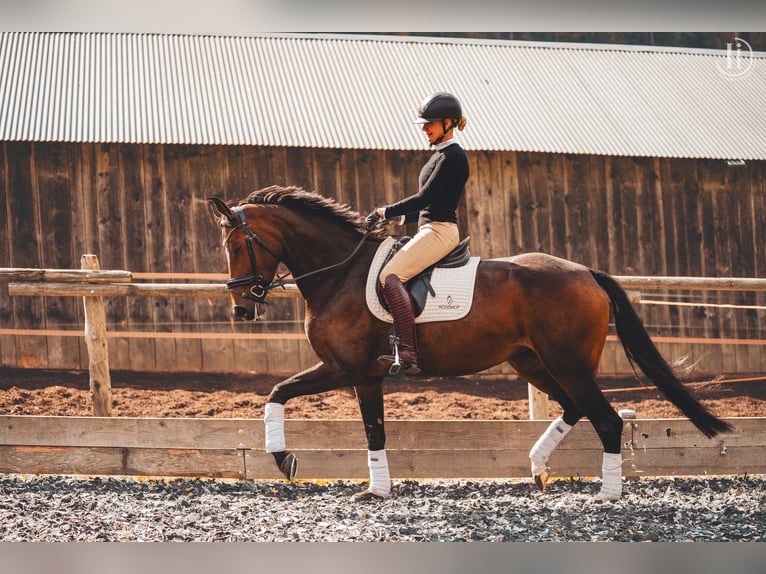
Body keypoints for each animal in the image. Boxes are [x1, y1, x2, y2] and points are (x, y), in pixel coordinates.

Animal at [208, 188, 732, 504]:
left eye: (235, 245)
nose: (241, 308)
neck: (340, 273)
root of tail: (586, 272)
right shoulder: (359, 375)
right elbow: (358, 426)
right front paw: (373, 488)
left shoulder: (347, 369)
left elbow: (283, 394)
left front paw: (289, 461)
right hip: (532, 362)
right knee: (573, 408)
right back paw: (537, 468)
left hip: (568, 363)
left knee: (605, 419)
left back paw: (607, 495)